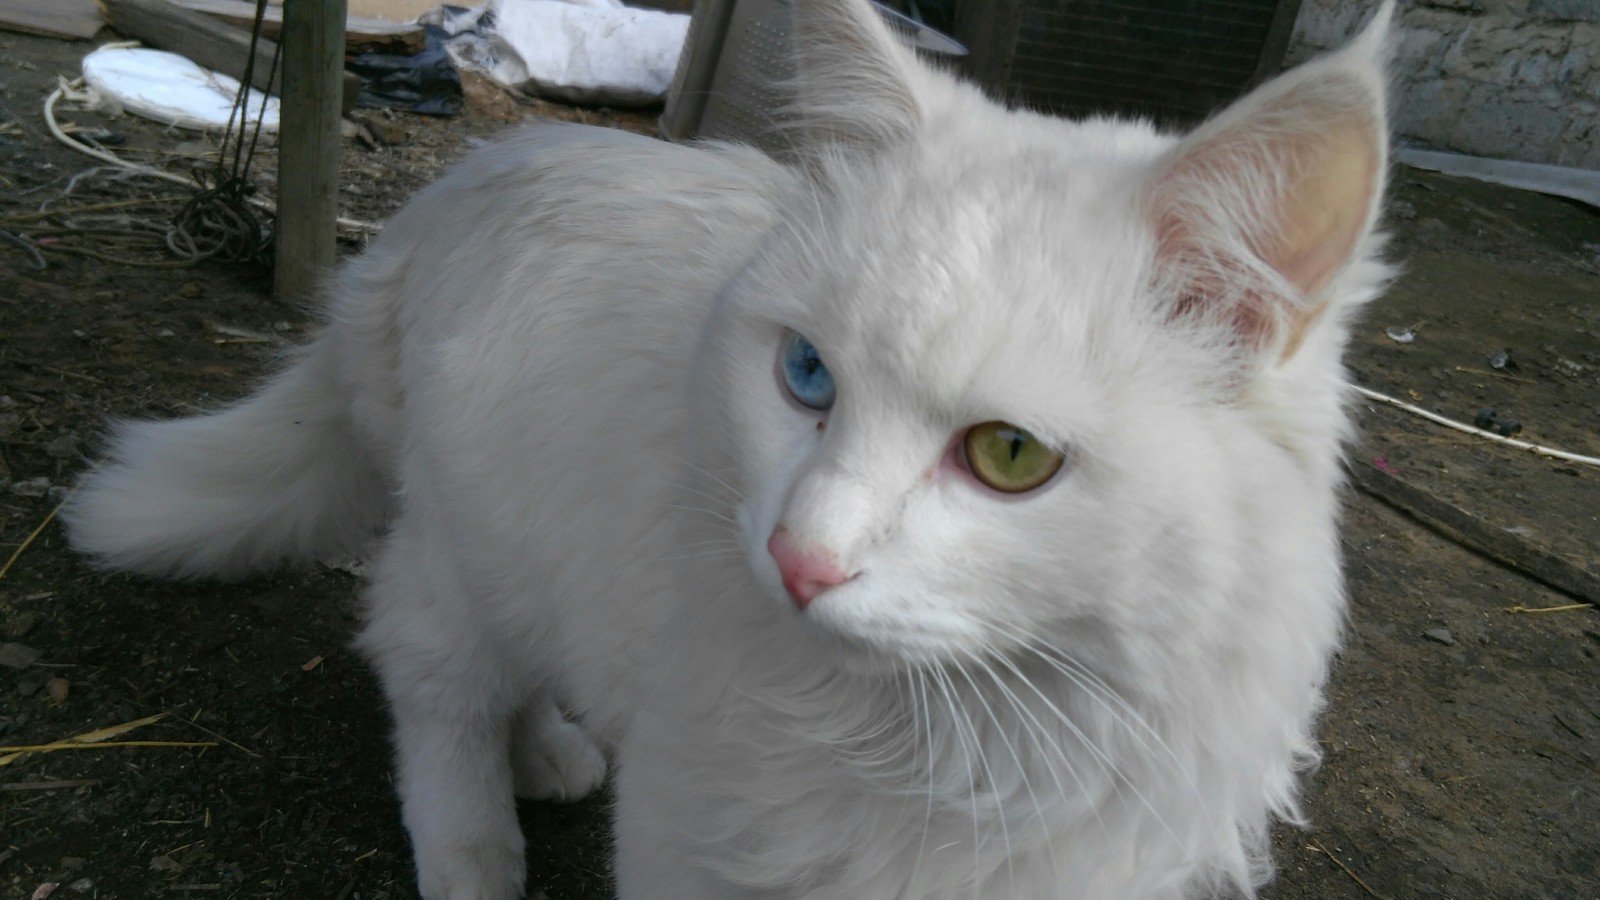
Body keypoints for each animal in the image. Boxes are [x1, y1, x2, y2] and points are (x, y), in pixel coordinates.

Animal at [62, 3, 1395, 890]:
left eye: (1010, 457)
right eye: (806, 377)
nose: (798, 559)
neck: (957, 745)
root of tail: (481, 171)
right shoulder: (693, 840)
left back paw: (551, 751)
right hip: (467, 543)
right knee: (436, 684)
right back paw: (478, 848)